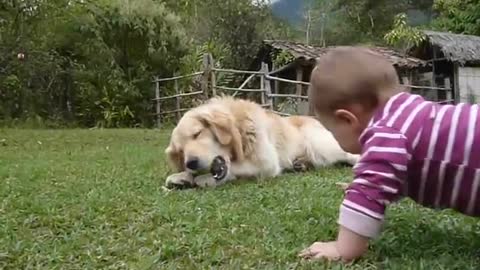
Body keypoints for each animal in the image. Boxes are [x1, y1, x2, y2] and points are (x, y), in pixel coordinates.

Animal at [163, 96, 358, 189]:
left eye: (197, 134)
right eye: (181, 152)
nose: (191, 163)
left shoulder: (266, 162)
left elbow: (234, 169)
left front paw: (200, 179)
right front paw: (181, 177)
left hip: (321, 146)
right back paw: (300, 164)